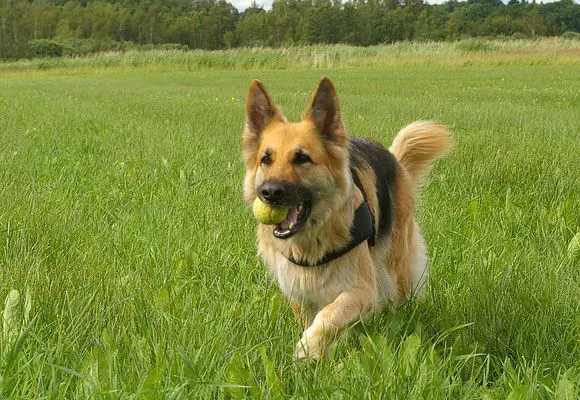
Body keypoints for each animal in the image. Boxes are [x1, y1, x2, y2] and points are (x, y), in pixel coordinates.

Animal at [242, 78, 450, 360]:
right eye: (266, 159)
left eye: (302, 158)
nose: (269, 193)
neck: (312, 242)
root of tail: (393, 158)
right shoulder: (298, 290)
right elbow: (317, 318)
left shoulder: (362, 290)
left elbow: (329, 316)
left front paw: (307, 349)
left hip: (396, 263)